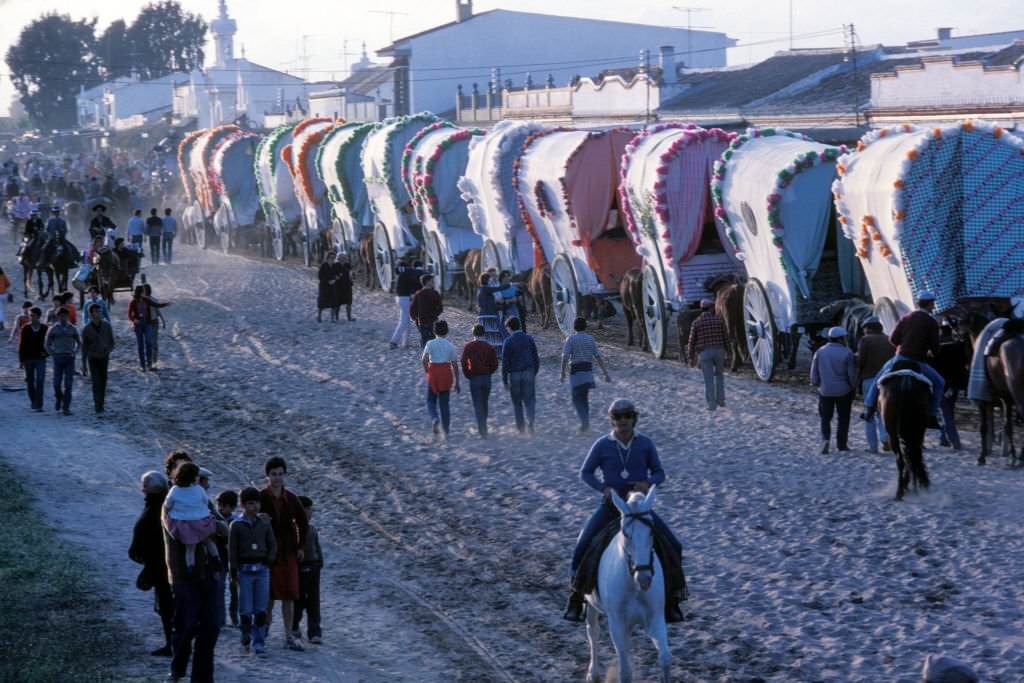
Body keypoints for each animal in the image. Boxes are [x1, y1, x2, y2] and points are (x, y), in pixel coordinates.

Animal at [585, 485, 671, 683]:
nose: (644, 578)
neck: (634, 587)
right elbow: (625, 672)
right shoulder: (617, 623)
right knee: (593, 631)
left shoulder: (655, 618)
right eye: (625, 533)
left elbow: (665, 659)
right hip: (590, 604)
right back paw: (593, 673)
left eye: (652, 532)